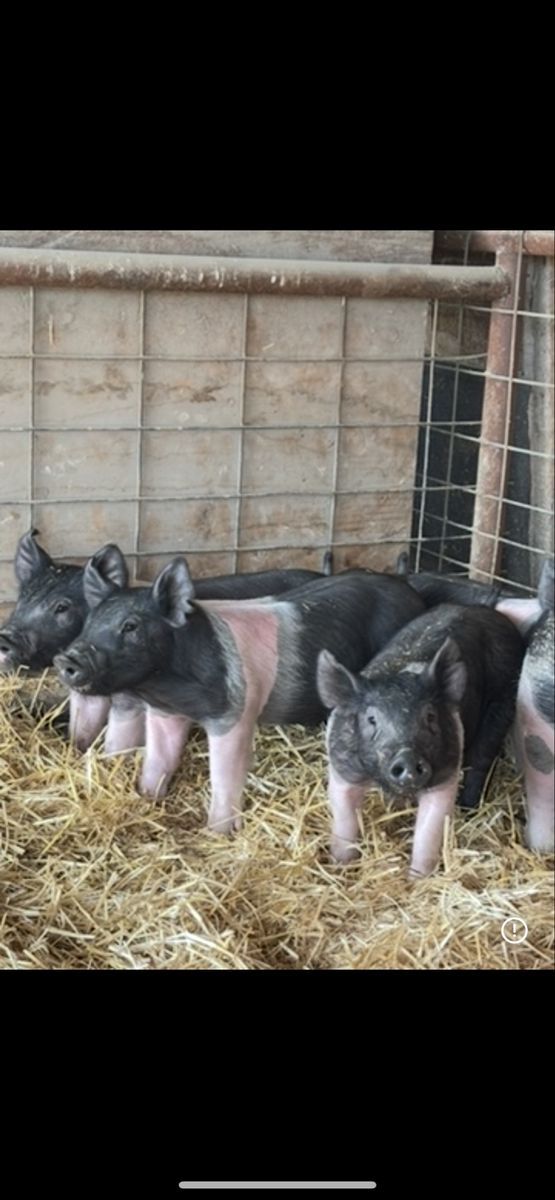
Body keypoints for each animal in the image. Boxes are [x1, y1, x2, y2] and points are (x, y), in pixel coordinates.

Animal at [54, 556, 426, 823]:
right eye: (90, 622)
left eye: (130, 626)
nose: (66, 658)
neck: (171, 686)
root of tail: (409, 590)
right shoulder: (166, 712)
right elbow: (158, 759)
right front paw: (147, 798)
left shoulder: (234, 712)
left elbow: (224, 775)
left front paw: (217, 831)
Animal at [317, 603, 525, 876]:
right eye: (371, 719)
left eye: (430, 716)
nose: (406, 757)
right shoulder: (342, 765)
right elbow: (344, 819)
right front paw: (340, 867)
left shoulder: (446, 769)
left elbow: (429, 830)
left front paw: (417, 879)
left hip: (503, 700)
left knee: (481, 759)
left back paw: (467, 810)